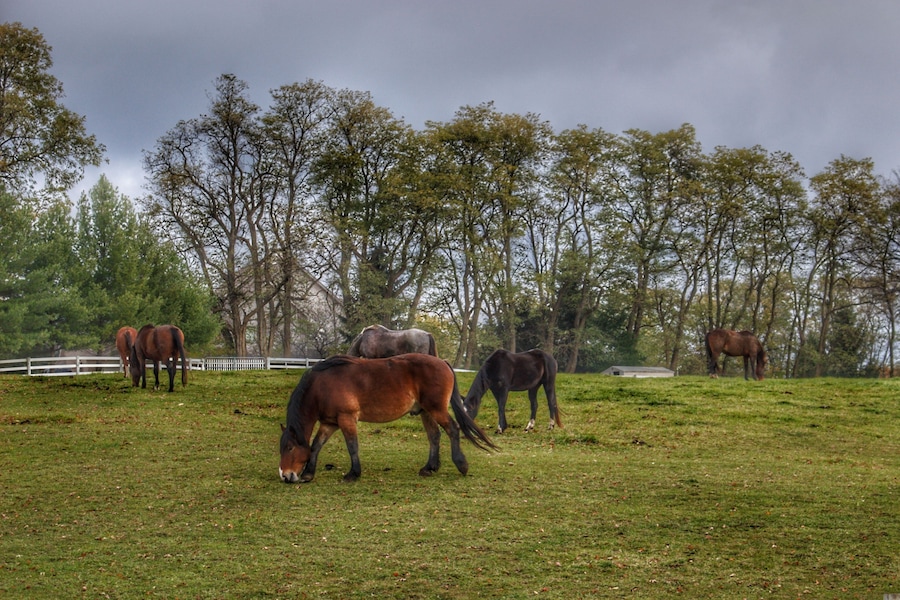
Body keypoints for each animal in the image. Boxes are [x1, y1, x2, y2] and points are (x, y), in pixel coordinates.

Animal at [279, 354, 495, 484]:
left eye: (289, 448)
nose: (285, 475)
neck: (322, 385)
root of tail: (442, 362)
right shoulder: (329, 422)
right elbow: (316, 445)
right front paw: (308, 473)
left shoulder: (346, 419)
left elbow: (352, 446)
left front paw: (353, 473)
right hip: (426, 411)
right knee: (434, 436)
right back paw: (429, 468)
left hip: (436, 409)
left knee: (452, 429)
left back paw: (461, 464)